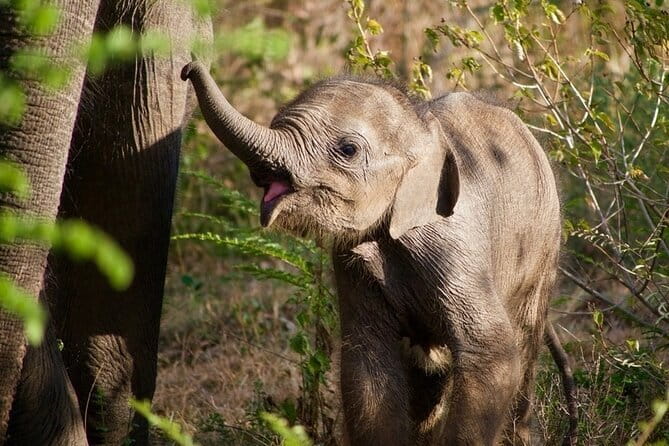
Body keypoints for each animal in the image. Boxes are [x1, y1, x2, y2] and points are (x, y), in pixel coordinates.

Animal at [182, 61, 565, 445]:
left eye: (348, 149)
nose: (188, 68)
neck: (423, 129)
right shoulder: (351, 263)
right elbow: (367, 363)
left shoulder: (456, 249)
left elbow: (491, 350)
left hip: (544, 250)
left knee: (523, 345)